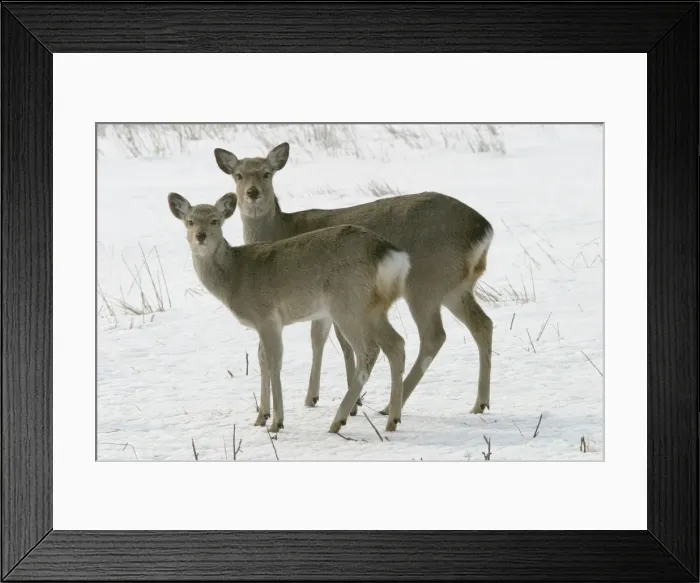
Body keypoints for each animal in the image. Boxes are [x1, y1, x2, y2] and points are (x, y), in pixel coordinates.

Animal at [167, 191, 409, 434]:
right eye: (190, 221)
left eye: (215, 220)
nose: (200, 236)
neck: (234, 277)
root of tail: (387, 254)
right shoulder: (262, 323)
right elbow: (261, 359)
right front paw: (261, 417)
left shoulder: (267, 316)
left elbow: (274, 362)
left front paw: (276, 422)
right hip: (374, 308)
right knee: (396, 344)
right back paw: (392, 420)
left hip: (349, 304)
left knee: (369, 350)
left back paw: (338, 421)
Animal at [213, 142, 494, 419]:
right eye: (238, 174)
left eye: (266, 173)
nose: (252, 193)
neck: (282, 229)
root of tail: (484, 229)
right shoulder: (322, 304)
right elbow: (318, 338)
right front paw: (313, 397)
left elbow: (341, 344)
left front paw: (353, 403)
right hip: (456, 287)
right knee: (483, 324)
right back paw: (480, 403)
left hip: (425, 282)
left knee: (433, 336)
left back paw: (391, 406)